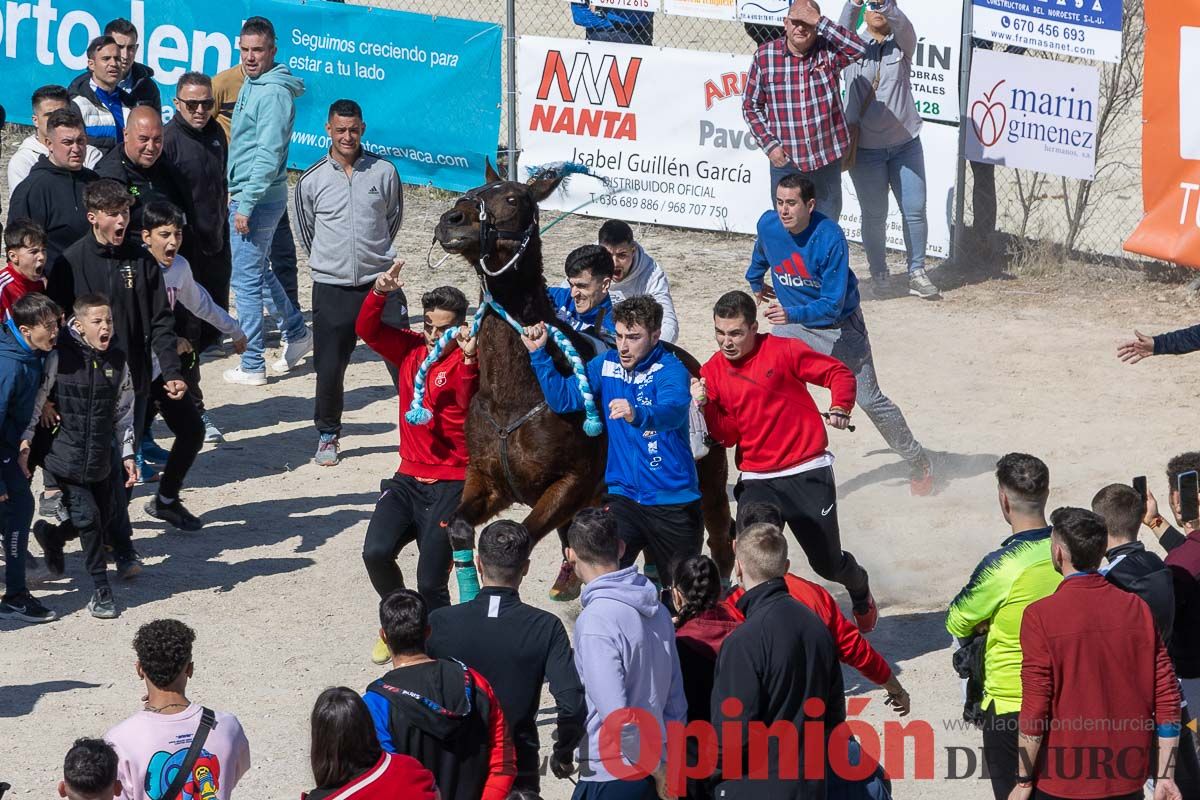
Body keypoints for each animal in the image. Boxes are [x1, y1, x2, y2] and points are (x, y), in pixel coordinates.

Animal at [432, 167, 729, 582]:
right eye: (475, 190)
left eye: (512, 198)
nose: (452, 220)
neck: (515, 396)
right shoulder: (486, 480)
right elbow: (458, 524)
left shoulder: (572, 485)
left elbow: (520, 535)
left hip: (710, 484)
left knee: (719, 541)